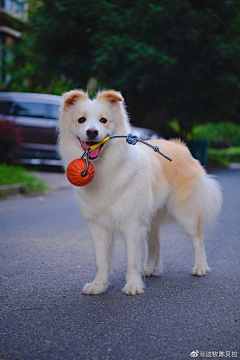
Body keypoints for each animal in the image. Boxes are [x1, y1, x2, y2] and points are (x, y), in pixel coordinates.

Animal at [57, 89, 221, 296]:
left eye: (103, 120)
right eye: (81, 120)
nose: (92, 132)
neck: (105, 167)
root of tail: (181, 146)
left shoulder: (132, 224)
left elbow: (132, 260)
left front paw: (133, 285)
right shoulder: (98, 226)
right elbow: (101, 260)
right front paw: (99, 285)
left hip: (186, 215)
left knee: (198, 240)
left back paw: (200, 267)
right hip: (150, 219)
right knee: (155, 244)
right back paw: (150, 269)